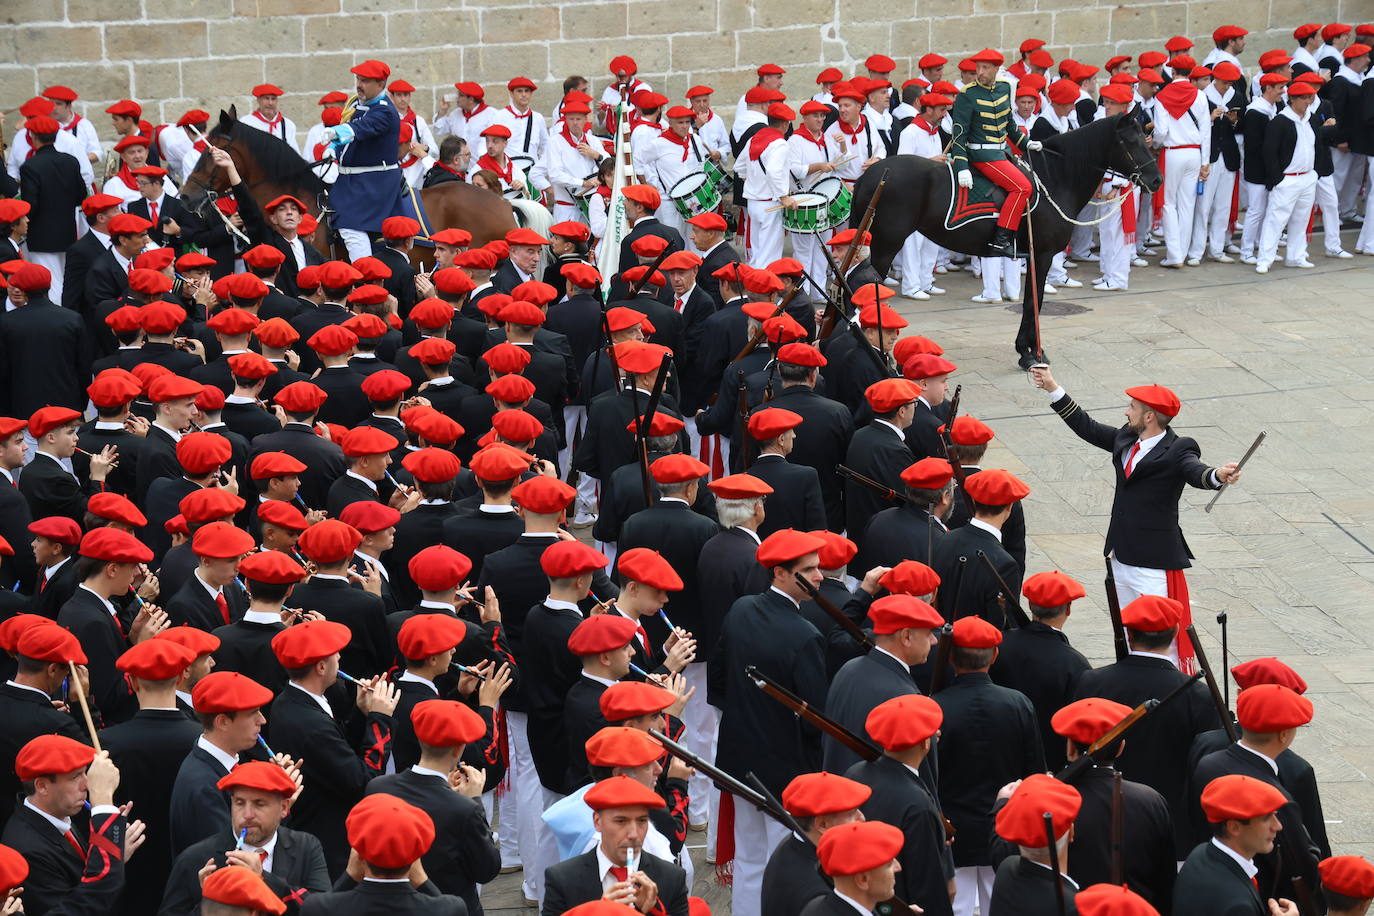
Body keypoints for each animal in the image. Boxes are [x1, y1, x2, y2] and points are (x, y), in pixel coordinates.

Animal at [846, 115, 1159, 368]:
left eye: (1144, 138)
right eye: (1130, 141)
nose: (1156, 180)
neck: (1055, 178)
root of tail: (869, 175)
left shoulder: (1034, 256)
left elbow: (1033, 300)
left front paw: (1029, 349)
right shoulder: (1042, 254)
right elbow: (1034, 302)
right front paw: (1030, 353)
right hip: (885, 246)